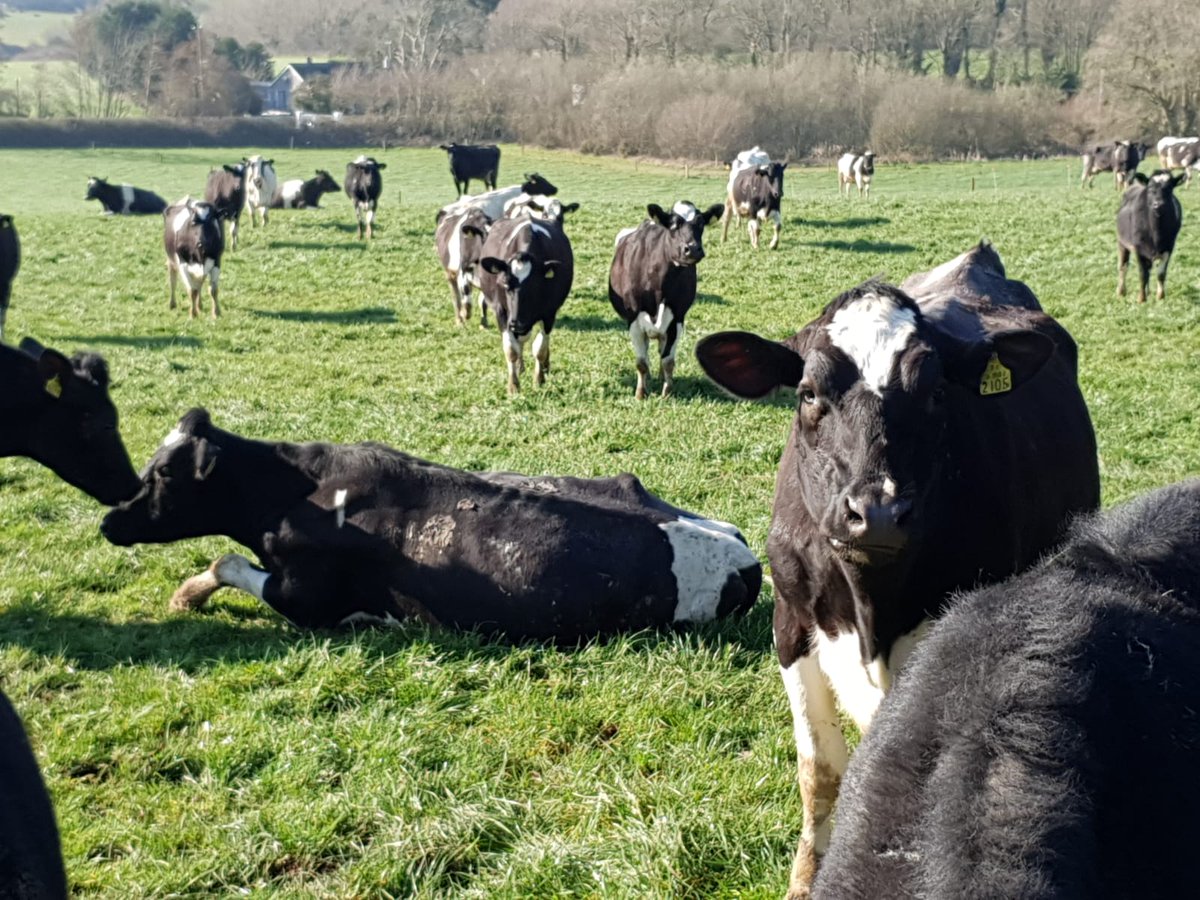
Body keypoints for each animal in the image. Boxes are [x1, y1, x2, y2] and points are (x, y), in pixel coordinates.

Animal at [100, 409, 763, 641]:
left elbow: (224, 560)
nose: (109, 520)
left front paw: (185, 595)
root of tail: (744, 552)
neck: (297, 489)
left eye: (164, 474)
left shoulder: (306, 599)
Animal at [478, 216, 574, 394]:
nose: (517, 323)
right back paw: (519, 367)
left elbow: (540, 348)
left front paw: (539, 379)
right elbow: (511, 350)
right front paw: (513, 386)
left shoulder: (549, 313)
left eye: (535, 285)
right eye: (506, 284)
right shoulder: (502, 313)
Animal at [609, 201, 724, 399]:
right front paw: (640, 393)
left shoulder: (677, 320)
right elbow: (641, 362)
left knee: (661, 350)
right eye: (673, 224)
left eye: (701, 223)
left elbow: (668, 361)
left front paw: (667, 392)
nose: (692, 249)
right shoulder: (633, 321)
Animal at [694, 245, 1099, 899]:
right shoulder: (789, 622)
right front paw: (805, 880)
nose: (877, 511)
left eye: (936, 393)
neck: (870, 606)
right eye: (807, 392)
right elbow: (820, 772)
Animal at [1117, 170, 1184, 303]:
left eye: (1169, 188)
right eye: (1151, 188)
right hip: (1122, 243)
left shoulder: (1169, 248)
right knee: (1123, 267)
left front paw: (1160, 297)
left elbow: (1161, 273)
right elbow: (1142, 274)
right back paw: (1121, 291)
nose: (1158, 204)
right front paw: (1141, 299)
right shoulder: (1139, 249)